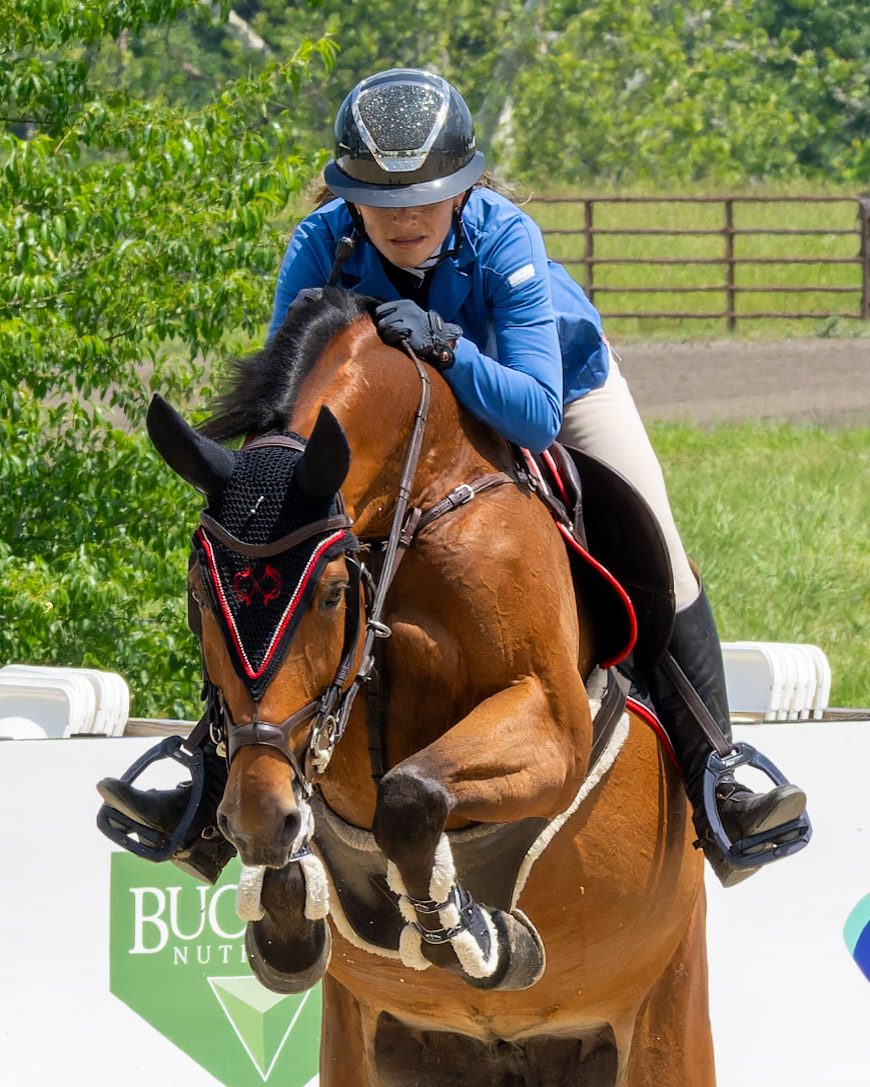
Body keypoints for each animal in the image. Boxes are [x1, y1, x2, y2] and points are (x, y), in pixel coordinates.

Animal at [144, 284, 713, 1082]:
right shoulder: (330, 717)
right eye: (199, 593)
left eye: (329, 594)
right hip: (365, 1040)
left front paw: (469, 932)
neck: (416, 502)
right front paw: (285, 909)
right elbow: (338, 785)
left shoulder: (553, 722)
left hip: (668, 1006)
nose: (256, 820)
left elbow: (411, 796)